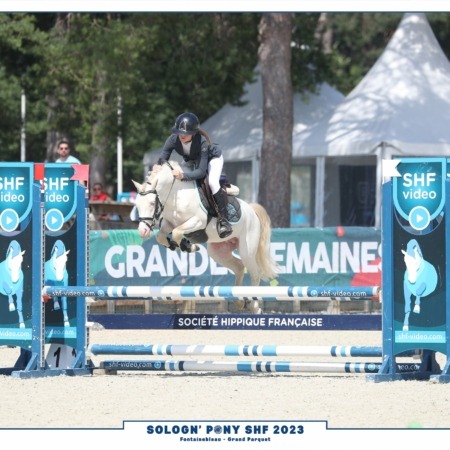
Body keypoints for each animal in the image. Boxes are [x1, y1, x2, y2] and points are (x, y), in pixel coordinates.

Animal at [132, 161, 278, 314]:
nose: (142, 231)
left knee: (255, 273)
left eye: (152, 203)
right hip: (218, 251)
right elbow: (161, 236)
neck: (176, 196)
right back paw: (238, 301)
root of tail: (252, 211)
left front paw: (187, 246)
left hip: (247, 250)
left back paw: (254, 306)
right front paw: (178, 245)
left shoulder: (198, 221)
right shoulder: (168, 224)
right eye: (137, 205)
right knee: (239, 267)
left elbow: (177, 232)